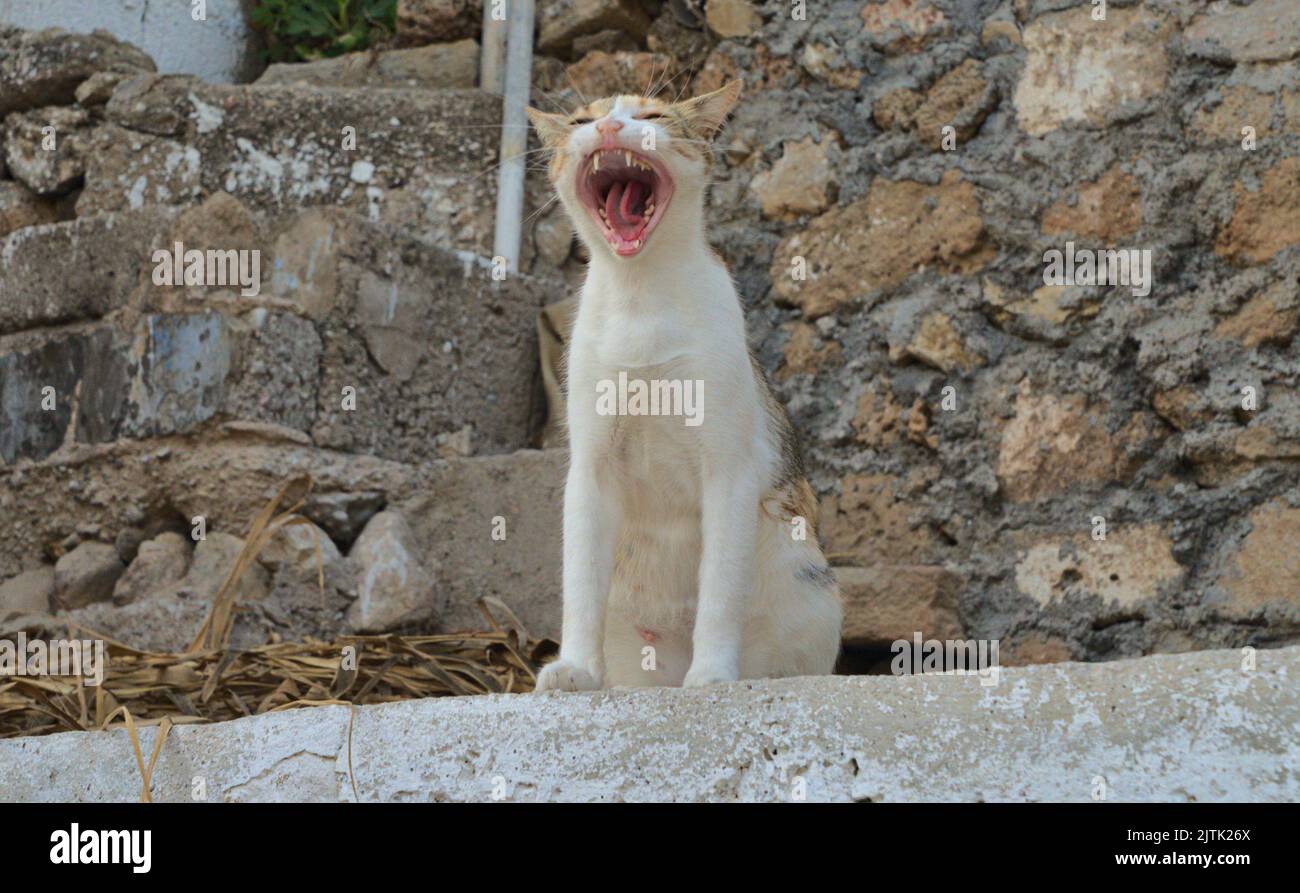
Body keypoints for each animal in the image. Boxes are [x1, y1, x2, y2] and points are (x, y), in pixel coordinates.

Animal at [527, 80, 842, 691]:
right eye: (580, 120)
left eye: (651, 114)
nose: (608, 127)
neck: (640, 291)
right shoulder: (590, 469)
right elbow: (580, 584)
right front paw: (576, 668)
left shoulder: (729, 468)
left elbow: (720, 587)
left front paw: (713, 674)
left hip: (809, 580)